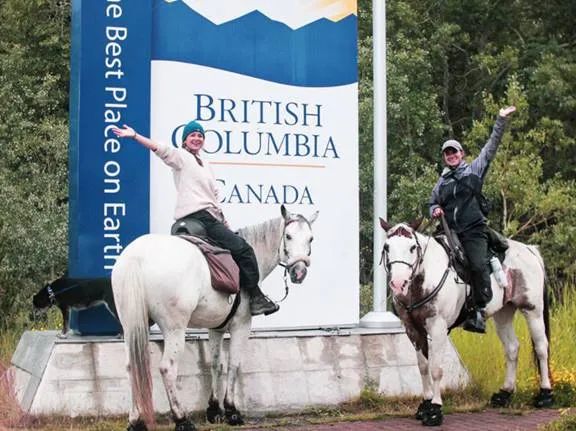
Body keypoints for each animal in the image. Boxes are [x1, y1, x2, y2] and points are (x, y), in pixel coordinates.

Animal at [111, 206, 320, 431]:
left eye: (311, 238)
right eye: (288, 236)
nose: (299, 272)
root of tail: (137, 256)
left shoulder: (216, 328)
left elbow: (215, 364)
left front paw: (213, 409)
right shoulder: (241, 325)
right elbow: (233, 364)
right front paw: (231, 410)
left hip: (131, 325)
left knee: (131, 367)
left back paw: (135, 421)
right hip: (174, 328)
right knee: (167, 368)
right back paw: (182, 419)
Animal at [380, 221, 552, 426]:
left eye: (412, 247)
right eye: (387, 247)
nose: (398, 284)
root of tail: (530, 250)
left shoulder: (437, 328)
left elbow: (436, 369)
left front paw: (435, 410)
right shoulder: (413, 330)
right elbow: (423, 367)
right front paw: (424, 405)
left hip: (533, 310)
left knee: (541, 348)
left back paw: (545, 394)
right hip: (503, 313)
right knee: (512, 348)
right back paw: (504, 393)